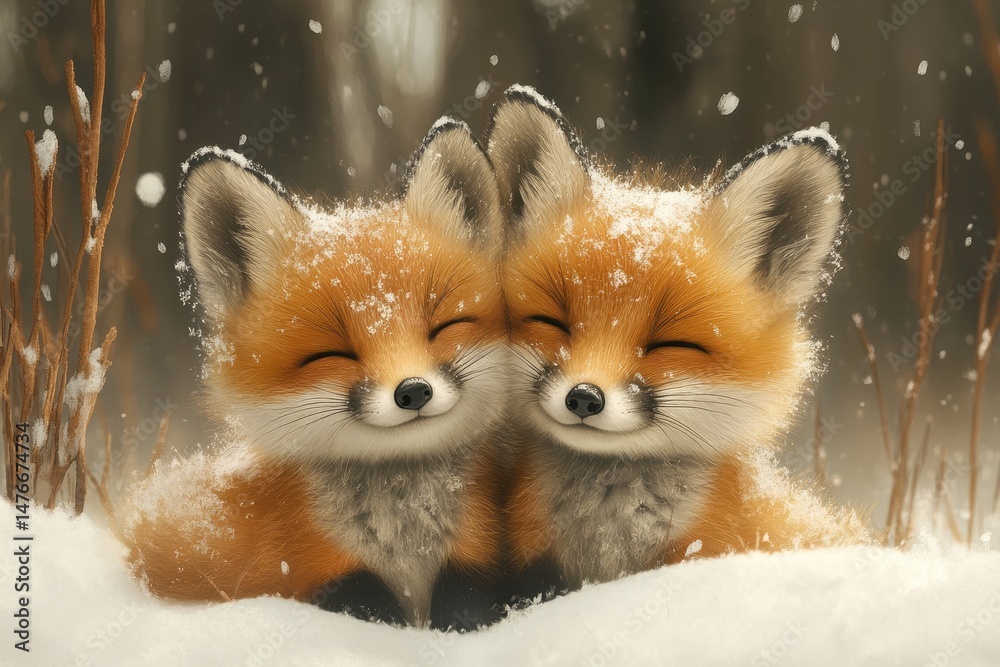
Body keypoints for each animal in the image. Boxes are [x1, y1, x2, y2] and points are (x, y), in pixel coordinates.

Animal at [118, 118, 510, 630]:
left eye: (443, 326)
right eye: (332, 352)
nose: (413, 391)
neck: (404, 542)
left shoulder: (472, 554)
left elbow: (466, 609)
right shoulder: (319, 569)